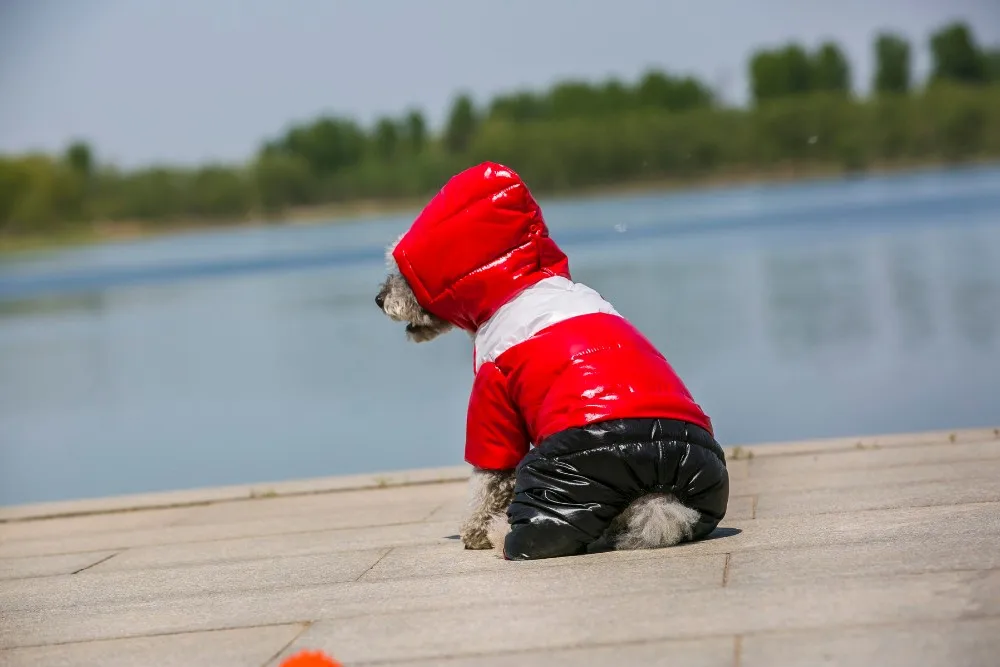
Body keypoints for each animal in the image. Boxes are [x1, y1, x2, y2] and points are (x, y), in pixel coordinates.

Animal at [376, 163, 728, 564]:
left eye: (401, 274)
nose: (378, 299)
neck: (519, 283)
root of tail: (656, 496)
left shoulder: (492, 394)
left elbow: (486, 478)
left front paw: (473, 533)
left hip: (557, 484)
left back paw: (501, 535)